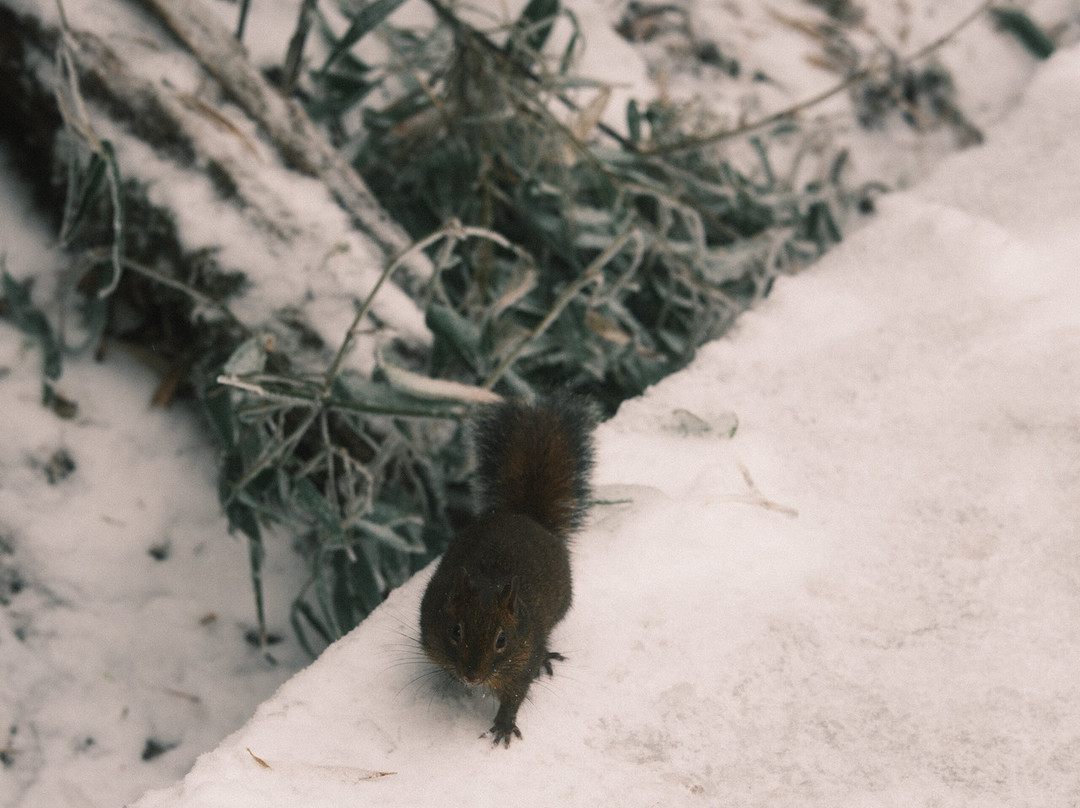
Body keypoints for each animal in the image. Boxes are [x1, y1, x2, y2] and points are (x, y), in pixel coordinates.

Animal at [416, 395, 596, 747]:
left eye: (502, 639)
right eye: (455, 631)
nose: (472, 676)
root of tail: (524, 515)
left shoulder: (521, 659)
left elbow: (516, 693)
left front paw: (503, 725)